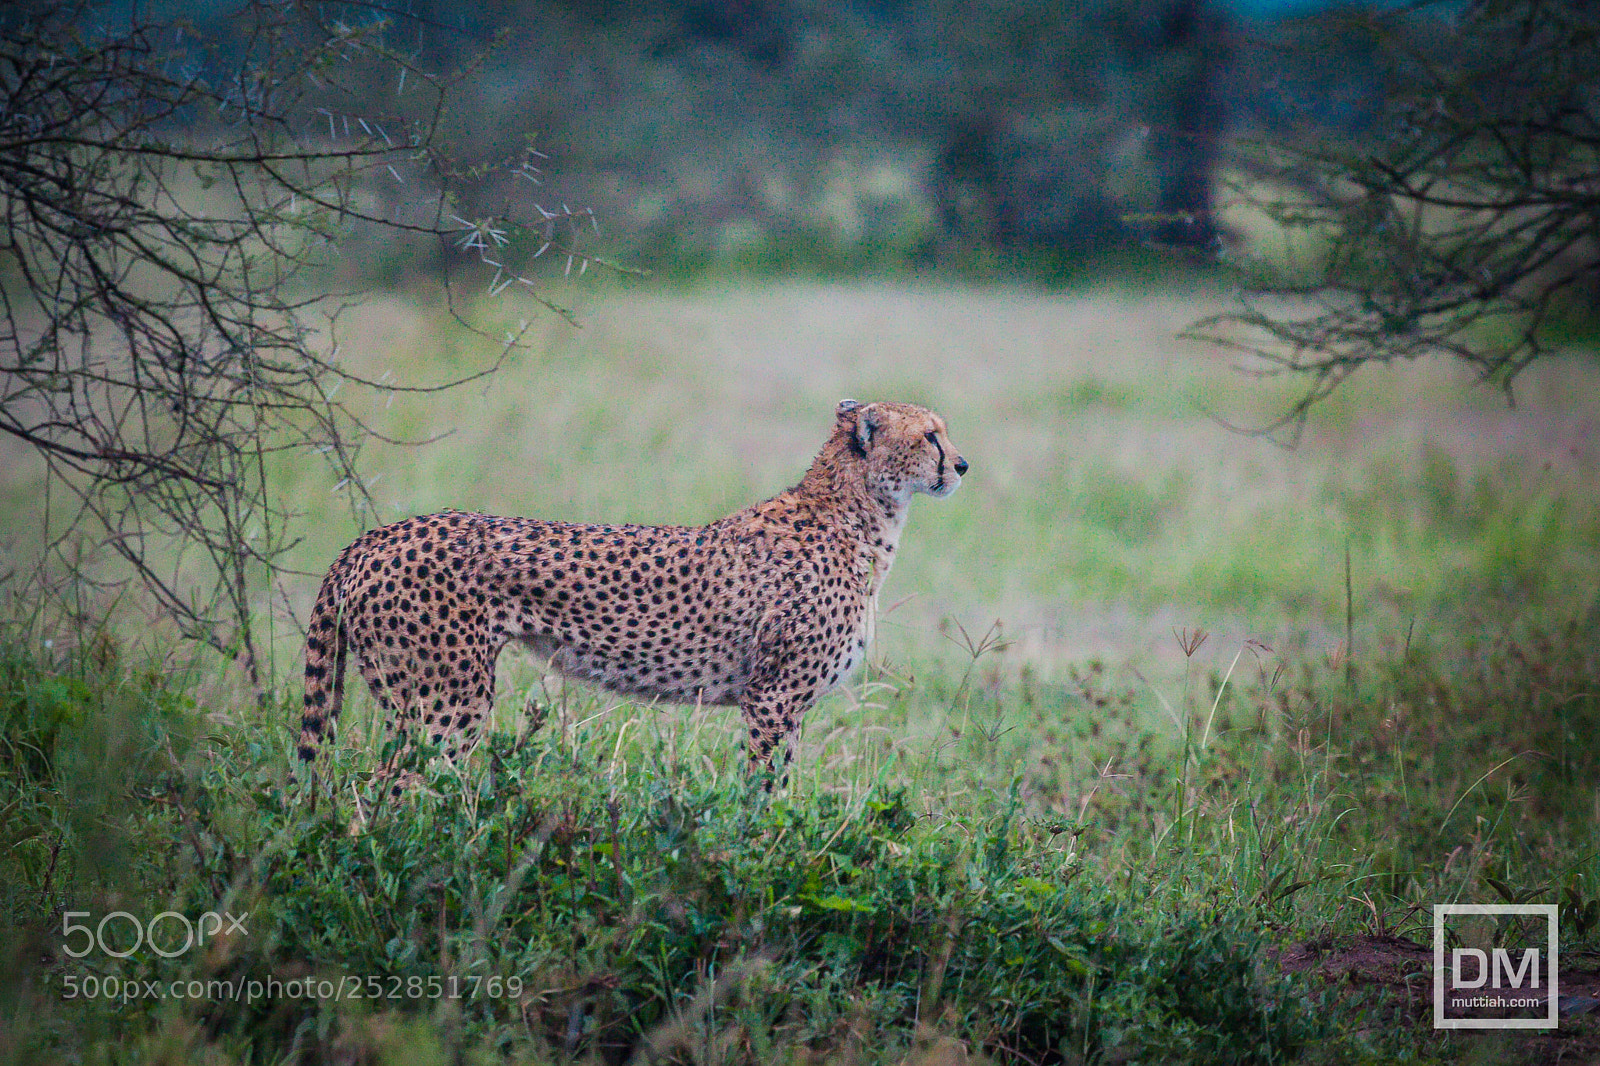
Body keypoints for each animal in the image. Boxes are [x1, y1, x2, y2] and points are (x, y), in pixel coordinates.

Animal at [300, 396, 966, 771]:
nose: (962, 464)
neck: (859, 514)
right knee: (395, 794)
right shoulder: (773, 699)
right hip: (445, 701)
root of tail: (380, 535)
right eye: (929, 435)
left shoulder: (776, 702)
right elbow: (765, 796)